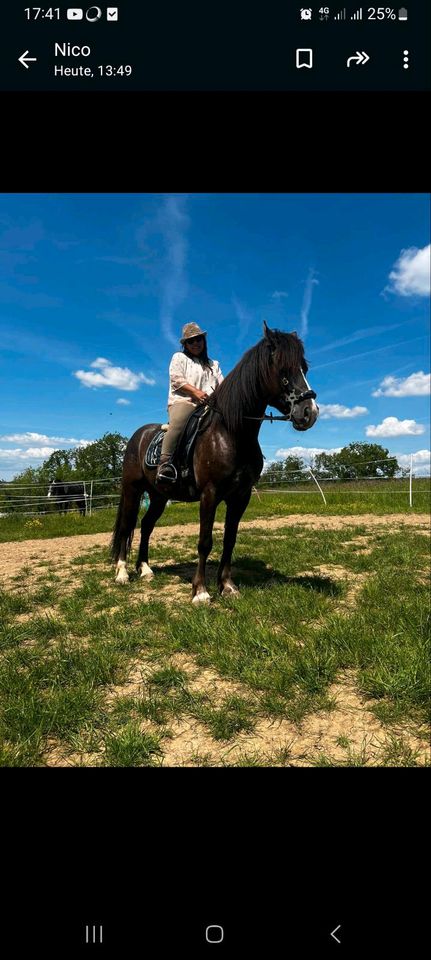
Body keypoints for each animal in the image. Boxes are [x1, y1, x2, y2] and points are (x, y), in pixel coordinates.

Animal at [111, 326, 318, 604]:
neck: (231, 433)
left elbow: (230, 540)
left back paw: (145, 569)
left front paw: (227, 586)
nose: (310, 412)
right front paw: (200, 591)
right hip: (132, 490)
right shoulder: (209, 494)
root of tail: (137, 436)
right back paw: (122, 573)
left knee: (146, 526)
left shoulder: (240, 496)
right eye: (284, 370)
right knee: (126, 527)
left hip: (158, 496)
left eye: (304, 368)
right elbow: (205, 541)